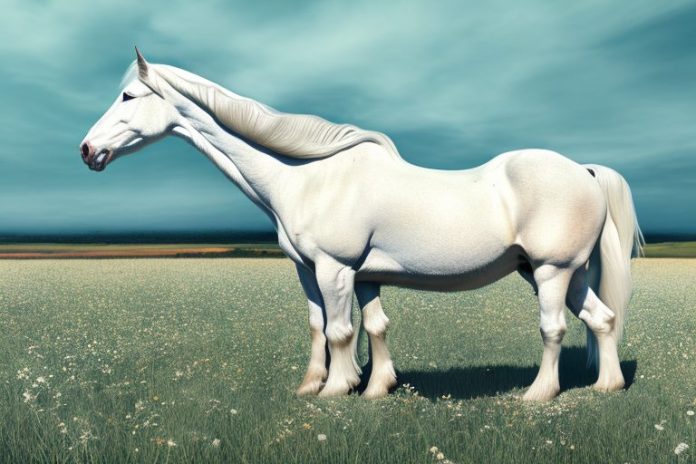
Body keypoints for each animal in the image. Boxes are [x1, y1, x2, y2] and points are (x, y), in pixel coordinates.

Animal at [81, 49, 643, 401]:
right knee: (602, 319)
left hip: (551, 272)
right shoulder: (338, 273)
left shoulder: (334, 269)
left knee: (554, 328)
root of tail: (584, 171)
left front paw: (335, 390)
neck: (309, 176)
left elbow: (340, 330)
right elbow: (357, 327)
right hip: (561, 275)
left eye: (128, 97)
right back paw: (607, 387)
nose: (88, 150)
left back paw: (537, 396)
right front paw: (360, 387)